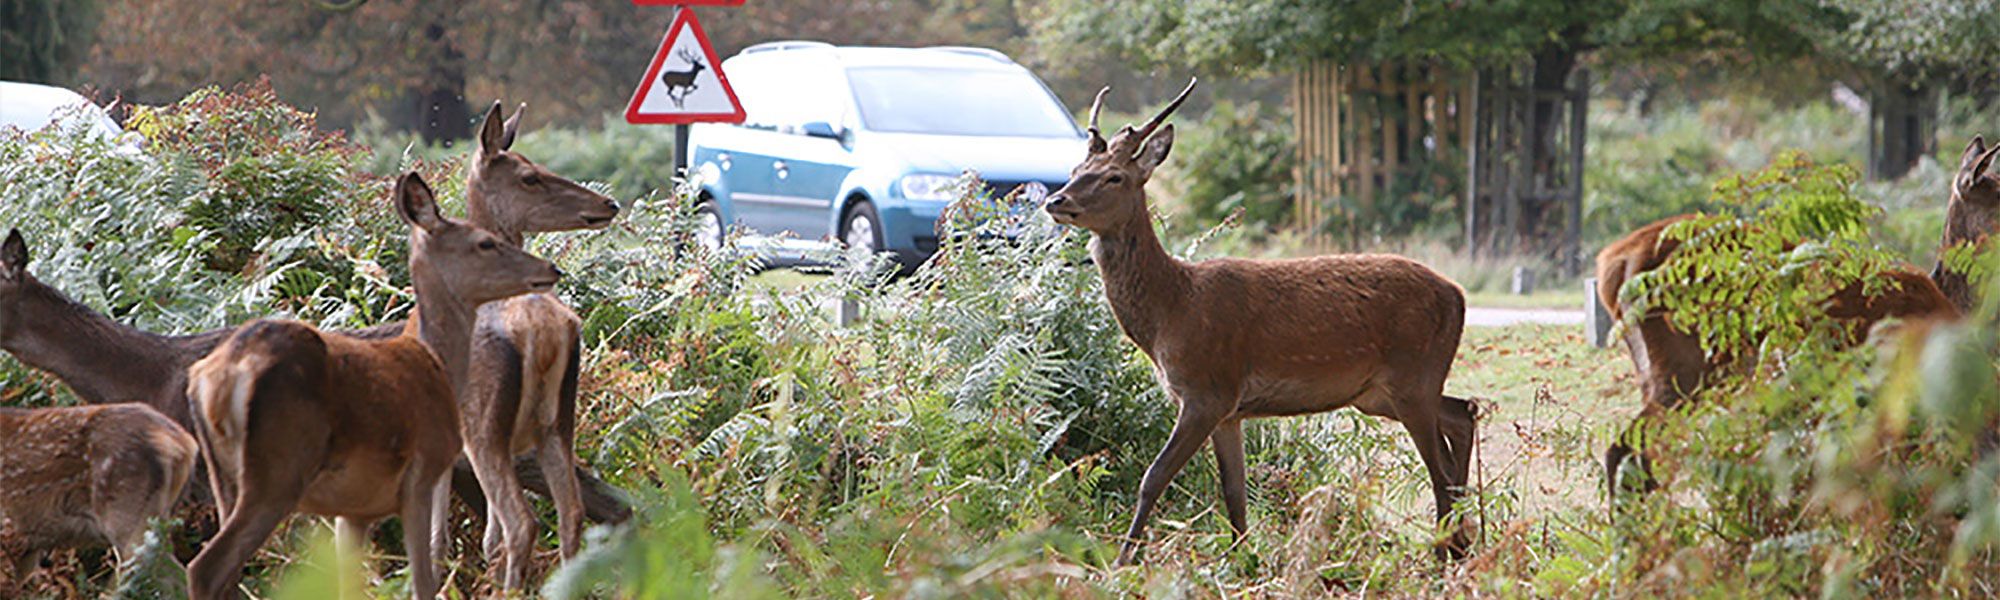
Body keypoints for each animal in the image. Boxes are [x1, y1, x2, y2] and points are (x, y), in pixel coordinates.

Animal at [187, 173, 564, 600]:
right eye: (485, 242)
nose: (550, 268)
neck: (437, 364)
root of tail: (215, 379)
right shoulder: (419, 477)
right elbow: (423, 581)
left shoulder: (353, 511)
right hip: (277, 472)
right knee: (206, 566)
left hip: (224, 478)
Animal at [1040, 79, 1480, 564]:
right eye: (1078, 167)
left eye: (1114, 176)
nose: (1056, 200)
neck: (1171, 313)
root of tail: (1458, 296)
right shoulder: (1229, 410)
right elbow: (1234, 491)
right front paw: (1242, 561)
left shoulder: (1207, 390)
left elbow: (1154, 476)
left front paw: (1121, 561)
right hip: (1382, 392)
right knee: (1463, 413)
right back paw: (1463, 542)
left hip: (1413, 375)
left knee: (1440, 467)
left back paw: (1444, 552)